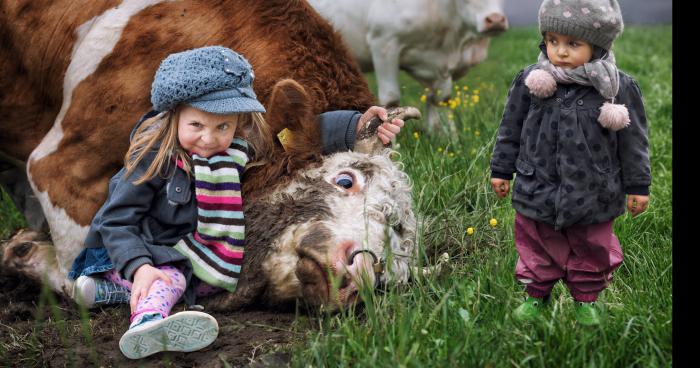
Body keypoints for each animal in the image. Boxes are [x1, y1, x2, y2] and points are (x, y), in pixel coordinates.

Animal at [0, 0, 422, 310]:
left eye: (389, 274)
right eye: (346, 180)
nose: (362, 272)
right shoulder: (60, 167)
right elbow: (86, 277)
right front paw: (26, 253)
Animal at [308, 0, 506, 132]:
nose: (495, 20)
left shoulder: (439, 65)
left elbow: (440, 99)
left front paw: (446, 136)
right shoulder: (384, 43)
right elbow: (391, 99)